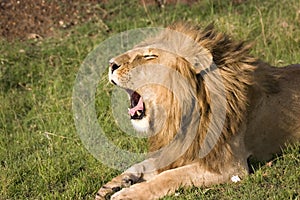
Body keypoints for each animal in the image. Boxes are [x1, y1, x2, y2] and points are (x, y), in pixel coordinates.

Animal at [95, 23, 300, 198]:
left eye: (149, 56)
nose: (111, 64)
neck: (181, 114)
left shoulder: (229, 166)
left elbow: (169, 176)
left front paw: (128, 193)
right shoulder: (176, 148)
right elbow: (144, 164)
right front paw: (117, 183)